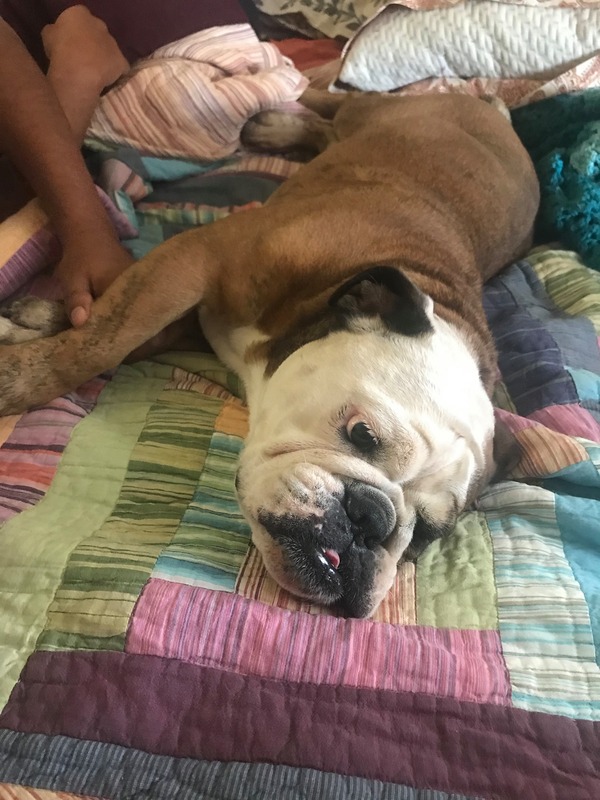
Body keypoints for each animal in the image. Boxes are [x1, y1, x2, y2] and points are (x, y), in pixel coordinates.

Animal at [0, 92, 540, 620]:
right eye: (362, 434)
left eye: (426, 535)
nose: (371, 518)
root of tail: (497, 115)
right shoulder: (195, 259)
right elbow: (103, 341)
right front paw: (23, 369)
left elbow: (129, 334)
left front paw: (36, 322)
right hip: (378, 111)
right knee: (339, 101)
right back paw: (277, 118)